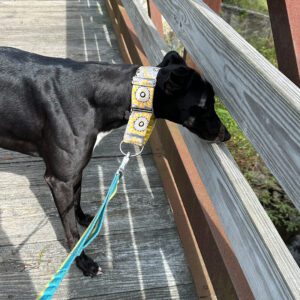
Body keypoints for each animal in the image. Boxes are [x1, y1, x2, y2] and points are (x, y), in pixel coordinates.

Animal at [0, 47, 231, 276]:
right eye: (206, 105)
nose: (227, 135)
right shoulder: (59, 179)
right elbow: (71, 230)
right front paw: (83, 261)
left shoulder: (76, 170)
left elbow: (77, 199)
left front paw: (85, 220)